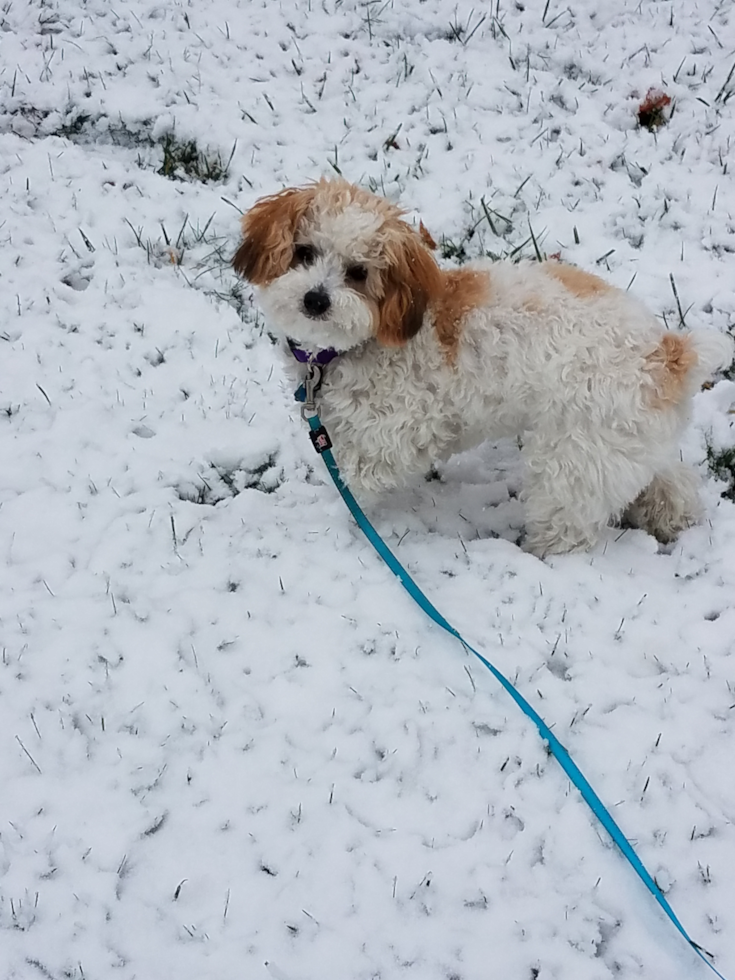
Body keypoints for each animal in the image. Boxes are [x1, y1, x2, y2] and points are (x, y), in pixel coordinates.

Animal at [233, 179, 732, 556]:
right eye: (303, 252)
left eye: (358, 272)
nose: (315, 299)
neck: (353, 347)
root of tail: (668, 351)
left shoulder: (392, 435)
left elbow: (357, 482)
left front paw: (336, 520)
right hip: (624, 443)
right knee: (669, 479)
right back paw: (671, 516)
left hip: (572, 462)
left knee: (569, 525)